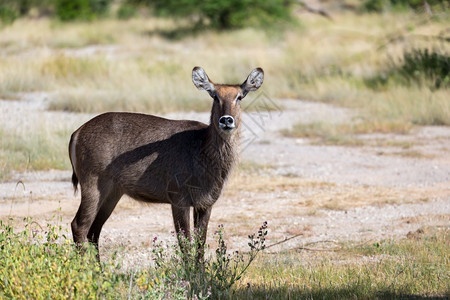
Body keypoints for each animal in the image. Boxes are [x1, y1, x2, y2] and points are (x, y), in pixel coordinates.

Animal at [68, 67, 262, 256]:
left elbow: (200, 245)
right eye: (215, 96)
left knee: (94, 231)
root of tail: (77, 132)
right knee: (79, 225)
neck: (202, 150)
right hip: (92, 184)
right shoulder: (178, 199)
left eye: (240, 96)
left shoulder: (206, 203)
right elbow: (186, 245)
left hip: (113, 192)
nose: (226, 120)